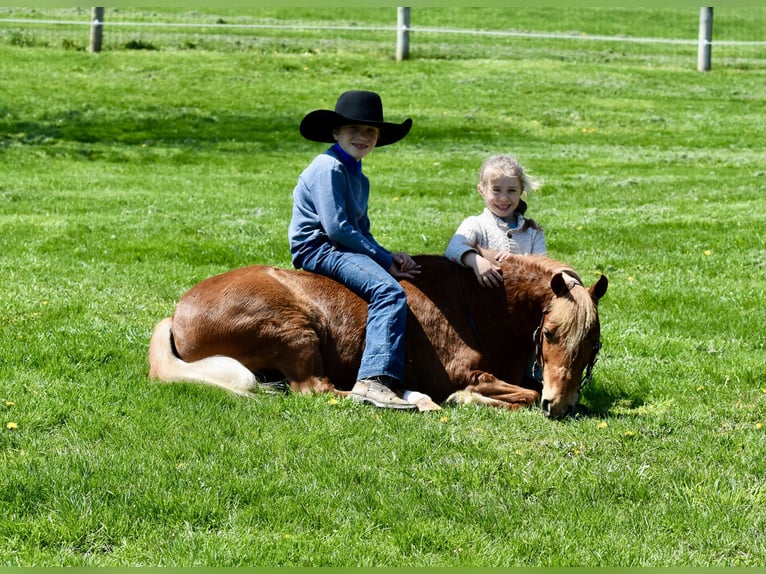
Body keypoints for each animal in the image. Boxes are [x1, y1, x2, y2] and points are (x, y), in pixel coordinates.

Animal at [148, 253, 608, 418]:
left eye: (593, 345)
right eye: (549, 333)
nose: (559, 406)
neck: (475, 303)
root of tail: (177, 313)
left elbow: (530, 387)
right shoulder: (468, 375)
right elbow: (523, 394)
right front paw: (462, 399)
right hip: (295, 332)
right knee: (320, 389)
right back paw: (409, 398)